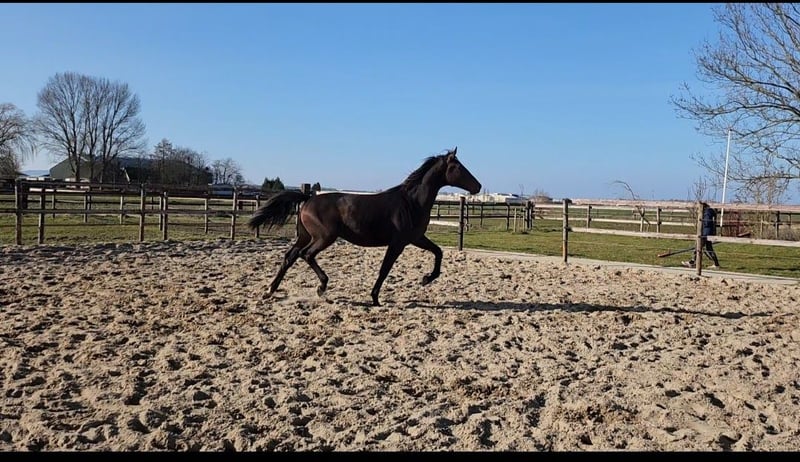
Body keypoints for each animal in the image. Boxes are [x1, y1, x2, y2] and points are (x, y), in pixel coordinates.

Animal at [247, 147, 482, 306]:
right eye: (458, 167)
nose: (478, 186)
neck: (411, 202)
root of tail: (307, 199)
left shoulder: (416, 238)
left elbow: (438, 252)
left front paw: (425, 279)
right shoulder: (398, 243)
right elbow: (384, 269)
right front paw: (375, 298)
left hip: (305, 236)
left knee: (291, 256)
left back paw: (269, 291)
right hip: (324, 237)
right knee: (306, 255)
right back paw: (321, 287)